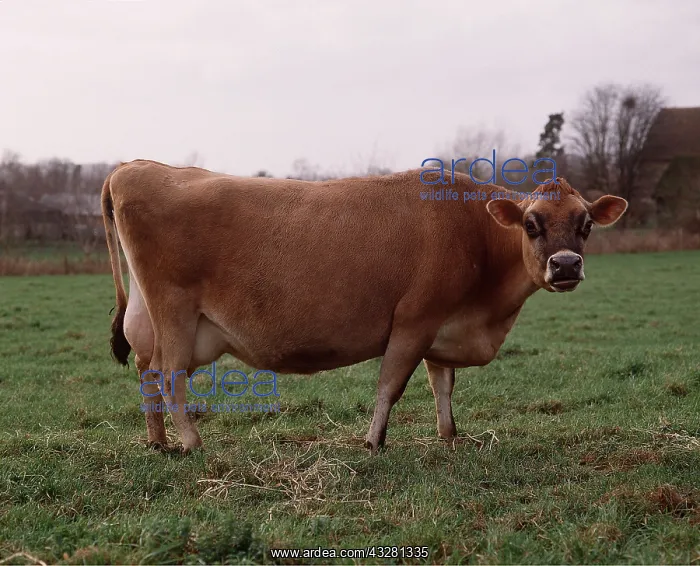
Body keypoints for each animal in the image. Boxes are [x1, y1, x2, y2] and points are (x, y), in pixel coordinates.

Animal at [101, 160, 627, 453]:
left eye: (585, 225)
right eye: (532, 225)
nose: (565, 265)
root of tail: (136, 166)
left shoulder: (442, 327)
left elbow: (443, 386)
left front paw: (450, 437)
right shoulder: (414, 320)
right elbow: (390, 387)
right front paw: (374, 443)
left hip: (160, 322)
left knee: (148, 373)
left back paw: (158, 443)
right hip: (175, 312)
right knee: (168, 376)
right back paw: (192, 444)